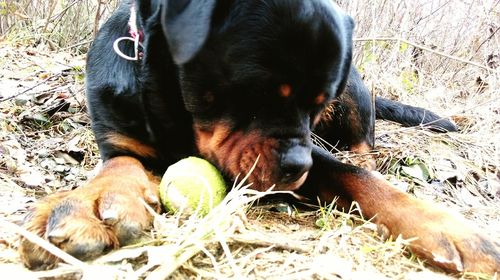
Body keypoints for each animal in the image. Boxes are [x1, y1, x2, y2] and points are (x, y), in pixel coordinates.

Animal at [19, 0, 500, 274]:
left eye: (316, 104)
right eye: (256, 94)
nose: (298, 168)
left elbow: (357, 177)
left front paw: (448, 228)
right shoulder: (119, 137)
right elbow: (120, 165)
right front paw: (91, 204)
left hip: (355, 92)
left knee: (364, 146)